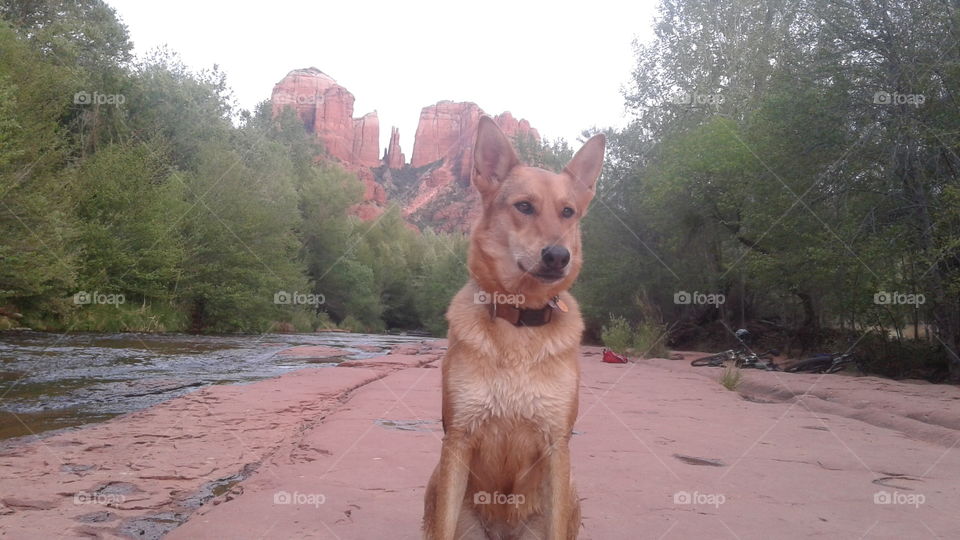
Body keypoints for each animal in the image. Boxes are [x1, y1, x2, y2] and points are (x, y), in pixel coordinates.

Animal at [424, 116, 604, 536]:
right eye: (524, 206)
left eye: (568, 212)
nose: (558, 256)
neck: (519, 324)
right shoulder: (457, 438)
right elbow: (442, 529)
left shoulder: (557, 445)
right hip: (436, 481)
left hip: (571, 490)